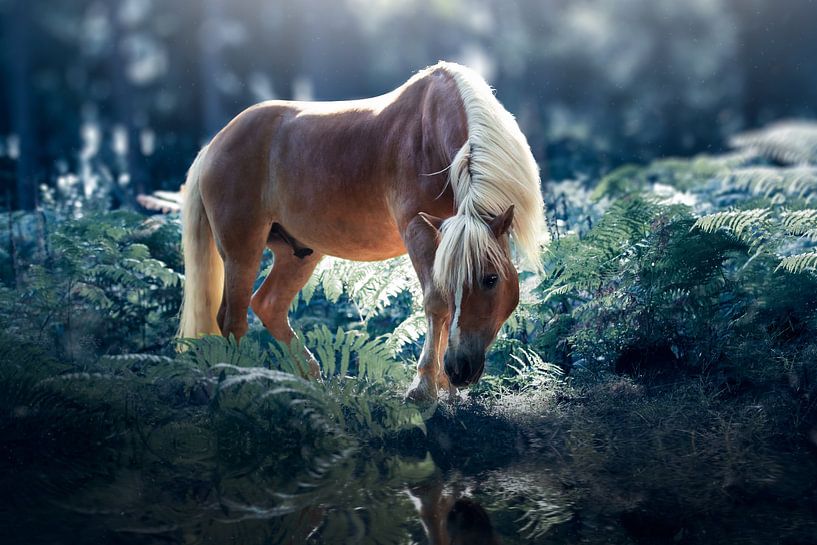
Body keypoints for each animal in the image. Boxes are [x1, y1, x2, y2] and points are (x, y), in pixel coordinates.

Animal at [177, 61, 546, 400]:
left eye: (490, 279)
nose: (458, 369)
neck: (429, 137)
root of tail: (214, 145)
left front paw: (443, 386)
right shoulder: (418, 230)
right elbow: (436, 303)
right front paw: (424, 386)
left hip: (299, 254)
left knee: (268, 305)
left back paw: (311, 379)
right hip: (242, 251)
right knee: (232, 319)